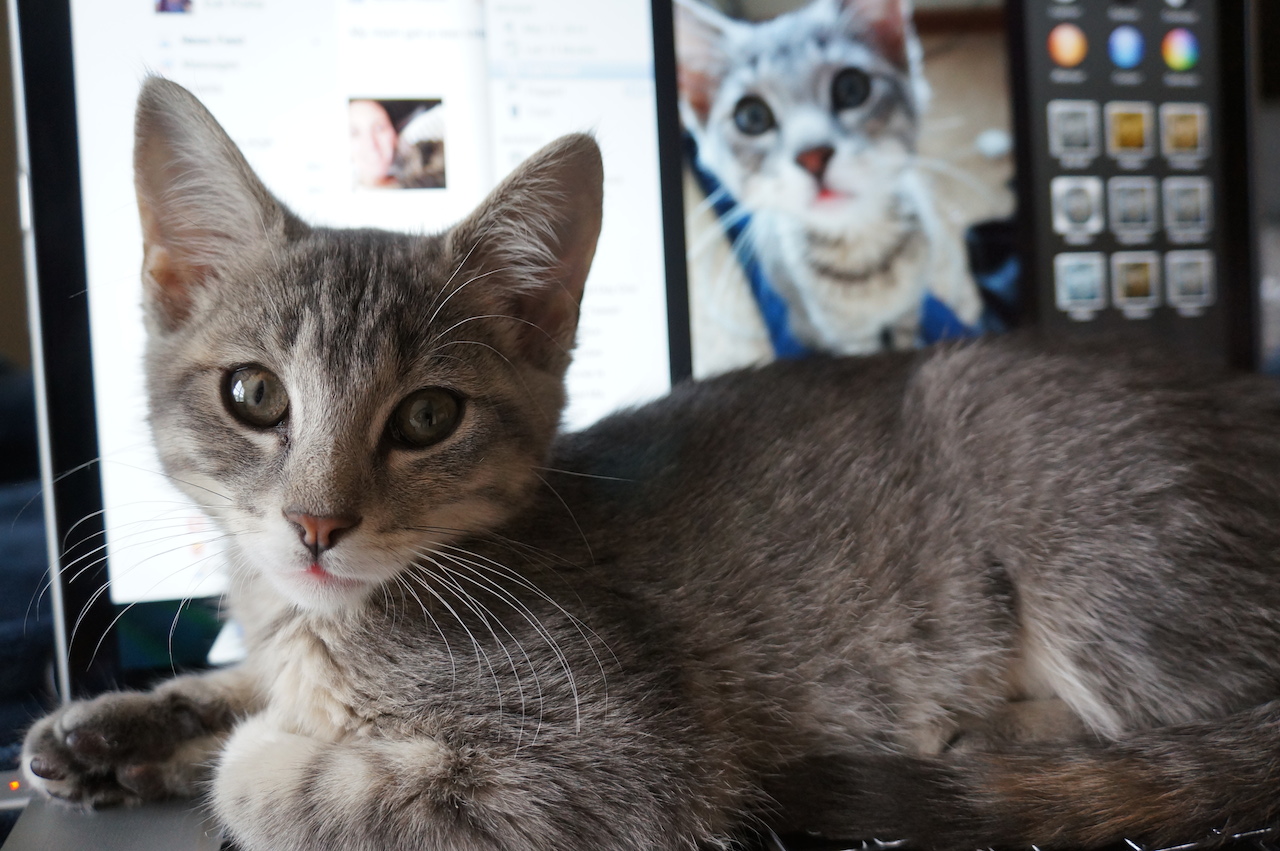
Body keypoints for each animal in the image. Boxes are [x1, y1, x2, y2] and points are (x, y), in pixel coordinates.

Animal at [22, 76, 1280, 851]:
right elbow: (240, 681)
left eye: (427, 415)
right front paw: (117, 726)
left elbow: (290, 778)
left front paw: (242, 753)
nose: (317, 525)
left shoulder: (616, 763)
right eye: (254, 395)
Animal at [676, 0, 983, 367]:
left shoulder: (909, 308)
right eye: (751, 117)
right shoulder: (846, 333)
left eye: (851, 88)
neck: (864, 253)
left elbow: (906, 336)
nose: (813, 155)